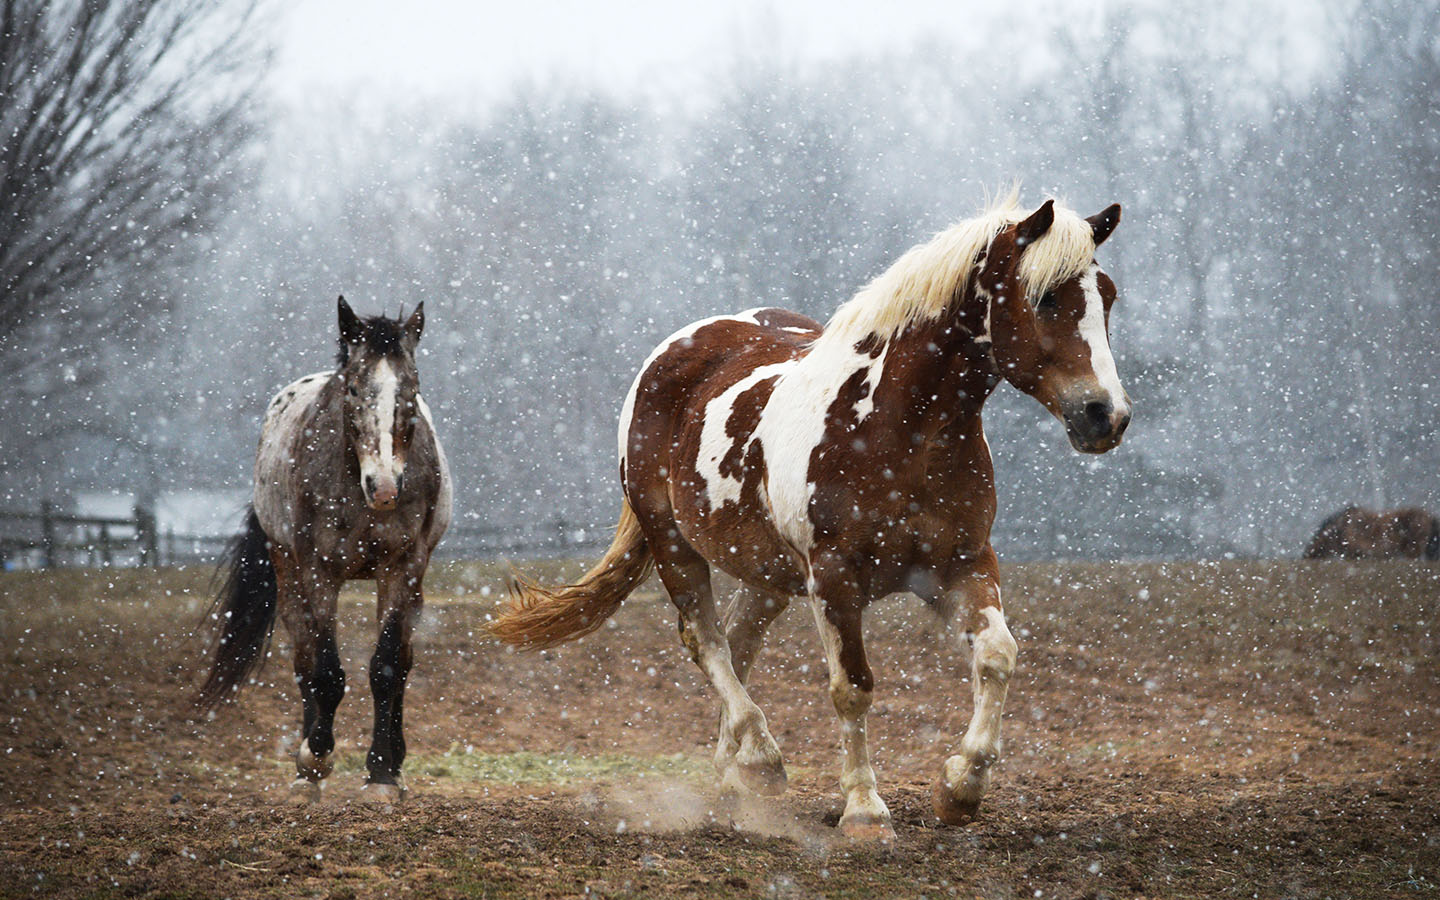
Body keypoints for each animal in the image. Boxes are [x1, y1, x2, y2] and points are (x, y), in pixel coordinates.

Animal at [198, 295, 449, 800]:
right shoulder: (319, 571)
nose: (384, 488)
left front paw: (381, 775)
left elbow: (387, 667)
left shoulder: (403, 568)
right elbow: (325, 669)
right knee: (304, 656)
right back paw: (305, 773)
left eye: (412, 389)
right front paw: (314, 759)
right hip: (286, 566)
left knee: (403, 660)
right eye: (352, 389)